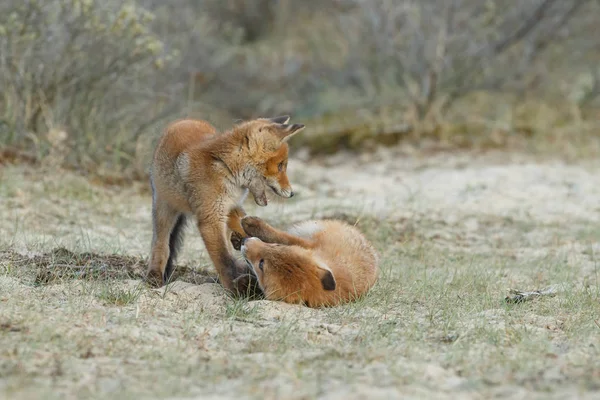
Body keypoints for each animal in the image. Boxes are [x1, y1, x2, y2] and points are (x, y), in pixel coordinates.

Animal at [146, 115, 304, 294]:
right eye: (280, 166)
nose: (292, 193)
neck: (226, 168)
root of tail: (184, 120)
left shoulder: (231, 207)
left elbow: (244, 237)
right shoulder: (211, 219)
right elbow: (223, 259)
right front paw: (235, 288)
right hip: (164, 209)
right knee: (160, 245)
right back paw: (154, 277)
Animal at [237, 216, 378, 306]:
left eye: (261, 264)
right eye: (276, 246)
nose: (245, 241)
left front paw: (245, 283)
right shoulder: (309, 246)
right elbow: (283, 237)